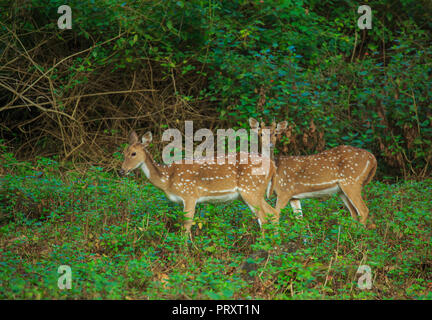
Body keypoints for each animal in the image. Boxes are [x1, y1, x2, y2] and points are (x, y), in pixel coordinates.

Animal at [120, 131, 278, 235]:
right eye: (123, 152)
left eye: (133, 153)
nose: (122, 170)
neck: (167, 179)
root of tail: (272, 165)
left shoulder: (189, 195)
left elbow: (186, 226)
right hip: (251, 193)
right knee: (273, 213)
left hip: (251, 189)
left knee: (264, 218)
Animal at [250, 117, 378, 228]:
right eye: (261, 134)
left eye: (276, 133)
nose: (270, 144)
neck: (276, 171)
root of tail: (372, 158)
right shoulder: (293, 196)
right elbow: (300, 220)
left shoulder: (284, 190)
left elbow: (275, 216)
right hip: (342, 190)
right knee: (354, 213)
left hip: (352, 181)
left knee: (363, 210)